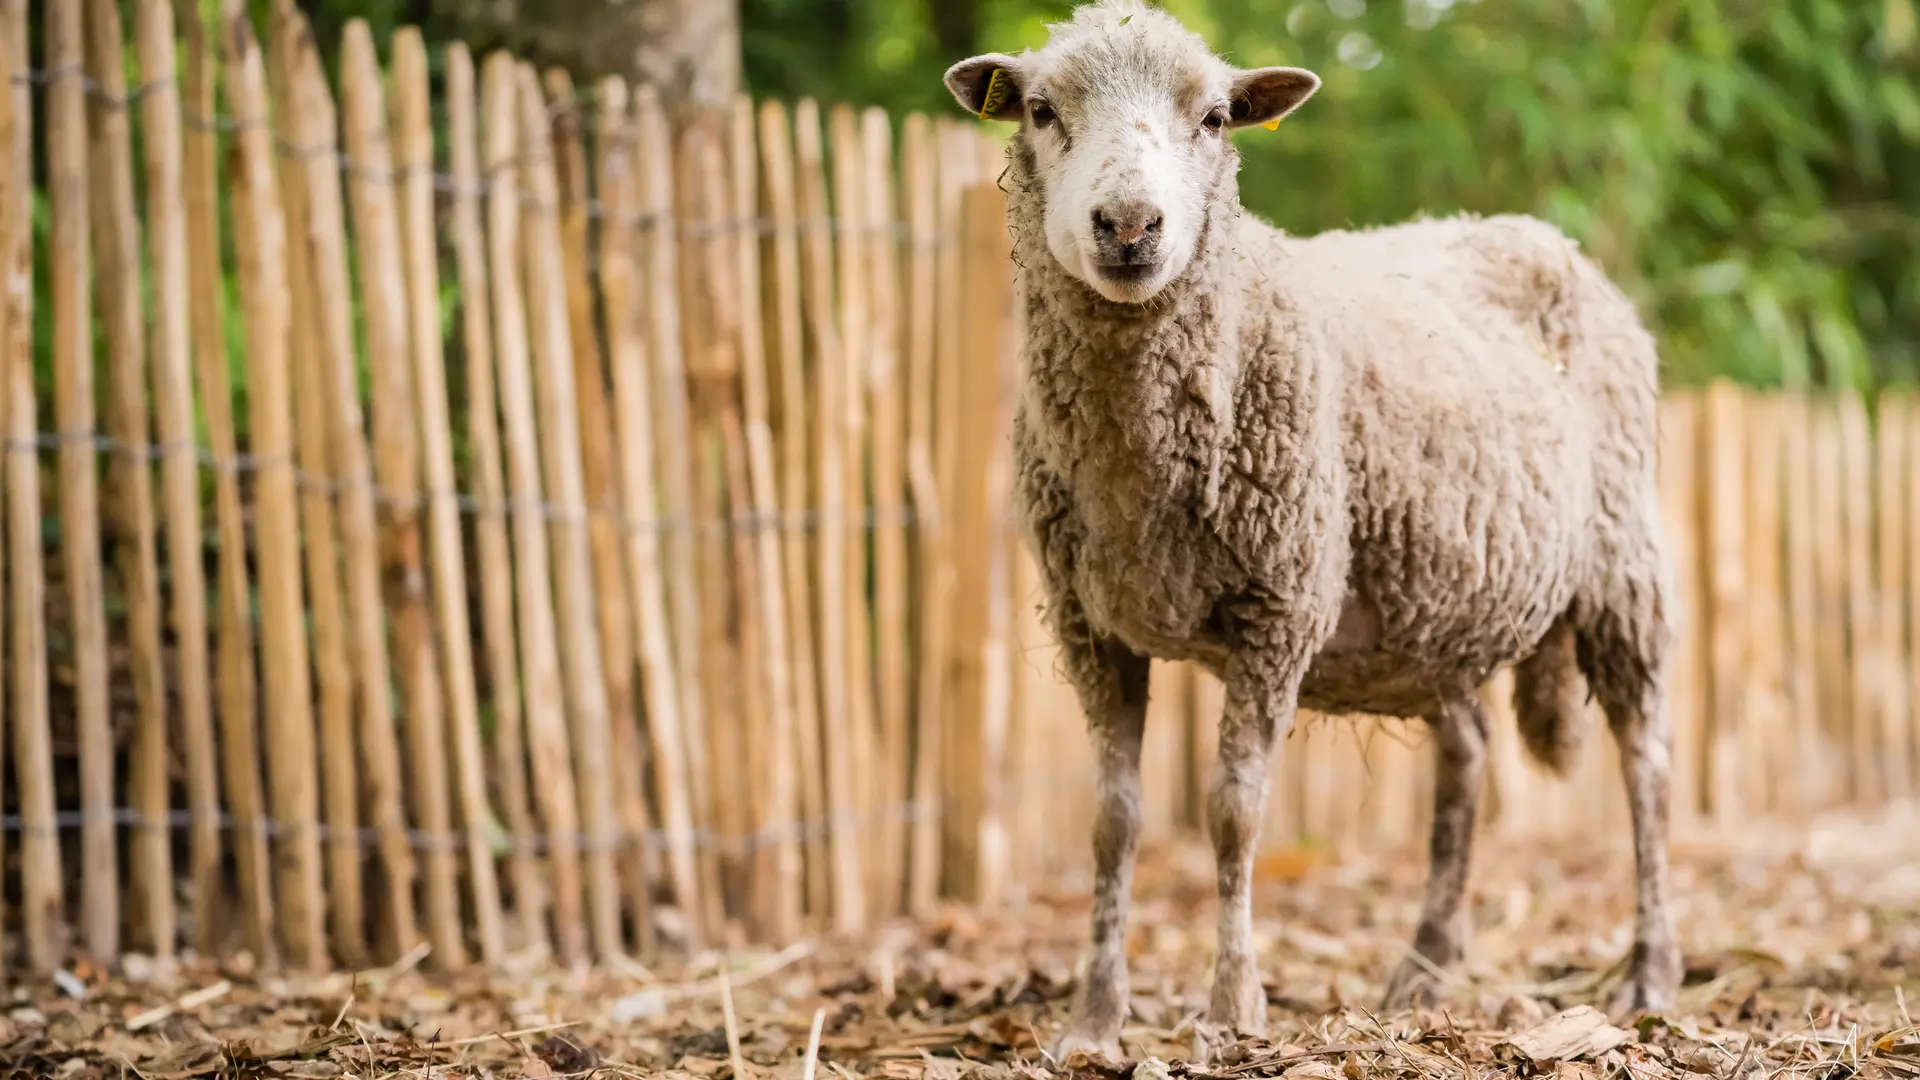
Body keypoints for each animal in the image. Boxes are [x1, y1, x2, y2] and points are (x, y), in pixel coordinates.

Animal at [944, 0, 1681, 1053]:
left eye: (1214, 118)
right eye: (1041, 110)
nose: (1128, 224)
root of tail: (1540, 235)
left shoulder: (1279, 603)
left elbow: (1233, 811)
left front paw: (1232, 1007)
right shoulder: (1090, 624)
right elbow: (1114, 820)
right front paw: (1093, 1019)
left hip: (1623, 561)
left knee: (1646, 765)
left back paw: (1650, 973)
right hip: (1432, 602)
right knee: (1467, 765)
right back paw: (1423, 969)